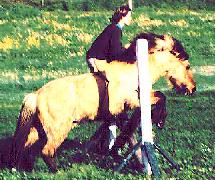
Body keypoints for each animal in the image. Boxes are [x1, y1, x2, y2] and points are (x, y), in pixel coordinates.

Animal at [9, 32, 195, 172]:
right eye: (187, 66)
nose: (193, 89)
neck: (134, 74)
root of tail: (36, 95)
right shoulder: (133, 101)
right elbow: (161, 97)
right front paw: (160, 119)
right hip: (58, 130)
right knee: (46, 151)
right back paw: (58, 170)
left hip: (37, 130)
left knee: (25, 148)